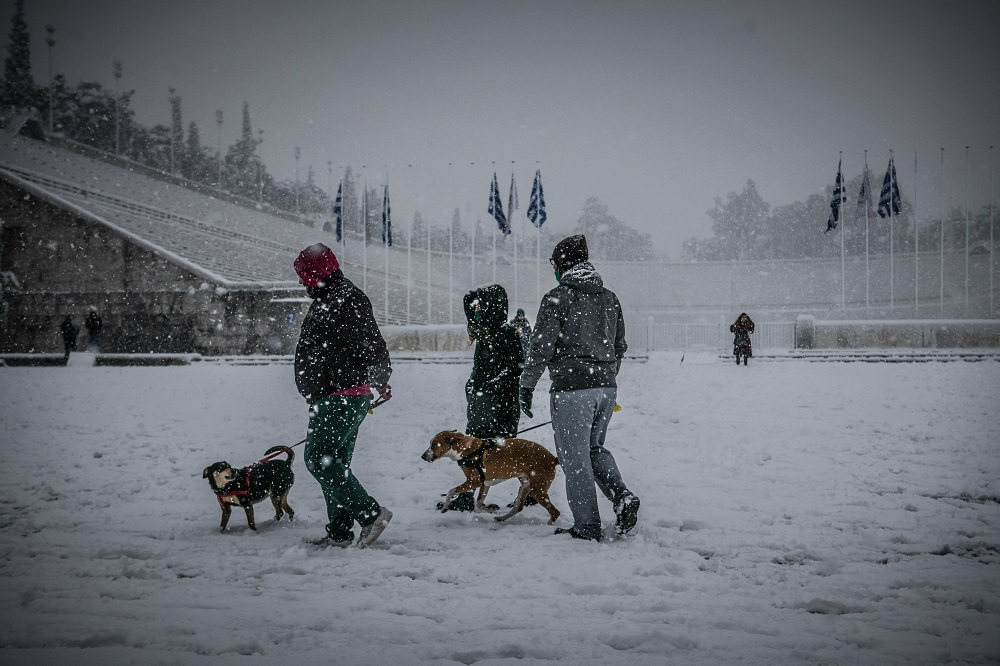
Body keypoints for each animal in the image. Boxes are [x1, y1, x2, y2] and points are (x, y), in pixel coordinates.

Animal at [420, 428, 564, 520]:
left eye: (434, 445)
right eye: (431, 443)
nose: (423, 456)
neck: (467, 450)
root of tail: (553, 459)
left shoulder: (474, 482)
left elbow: (451, 491)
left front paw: (445, 507)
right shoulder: (485, 483)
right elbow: (478, 504)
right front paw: (490, 508)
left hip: (537, 489)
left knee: (555, 512)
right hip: (525, 485)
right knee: (518, 507)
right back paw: (502, 518)